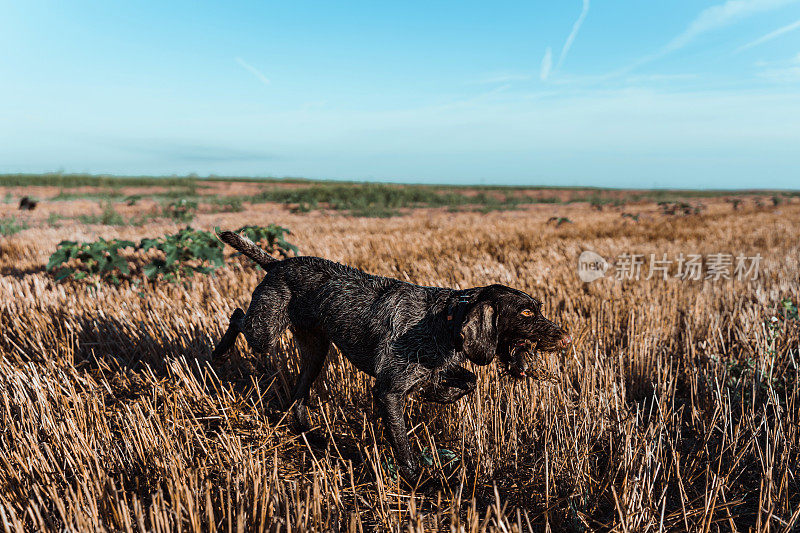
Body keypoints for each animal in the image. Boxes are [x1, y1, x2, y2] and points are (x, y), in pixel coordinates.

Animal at [212, 231, 568, 480]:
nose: (565, 336)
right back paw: (220, 351)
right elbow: (403, 446)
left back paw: (310, 434)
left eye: (538, 308)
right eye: (525, 313)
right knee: (237, 315)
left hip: (315, 351)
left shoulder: (437, 367)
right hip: (264, 332)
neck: (445, 320)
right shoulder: (389, 392)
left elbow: (469, 379)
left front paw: (437, 394)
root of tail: (278, 264)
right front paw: (418, 481)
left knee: (298, 396)